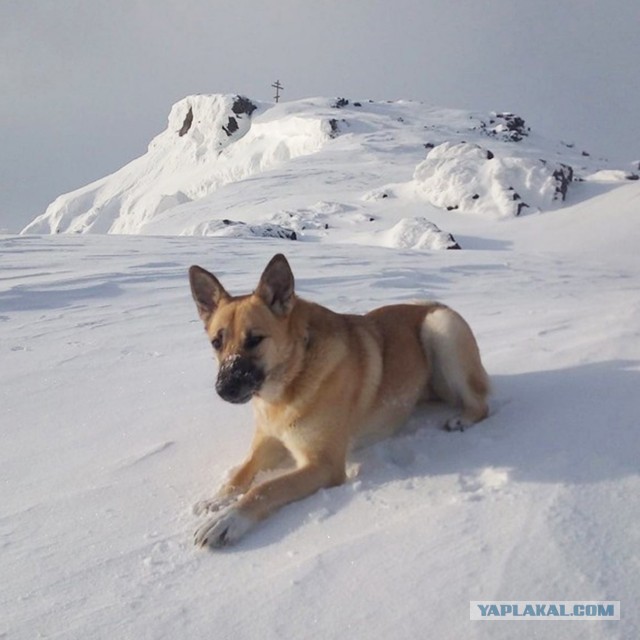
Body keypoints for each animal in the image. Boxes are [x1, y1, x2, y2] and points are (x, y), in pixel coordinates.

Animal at [188, 252, 488, 548]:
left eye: (255, 340)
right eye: (216, 342)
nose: (224, 388)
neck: (294, 374)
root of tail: (436, 305)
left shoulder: (323, 465)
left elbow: (265, 488)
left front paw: (228, 520)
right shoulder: (269, 441)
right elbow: (241, 472)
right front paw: (218, 499)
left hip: (441, 330)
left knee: (481, 402)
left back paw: (462, 418)